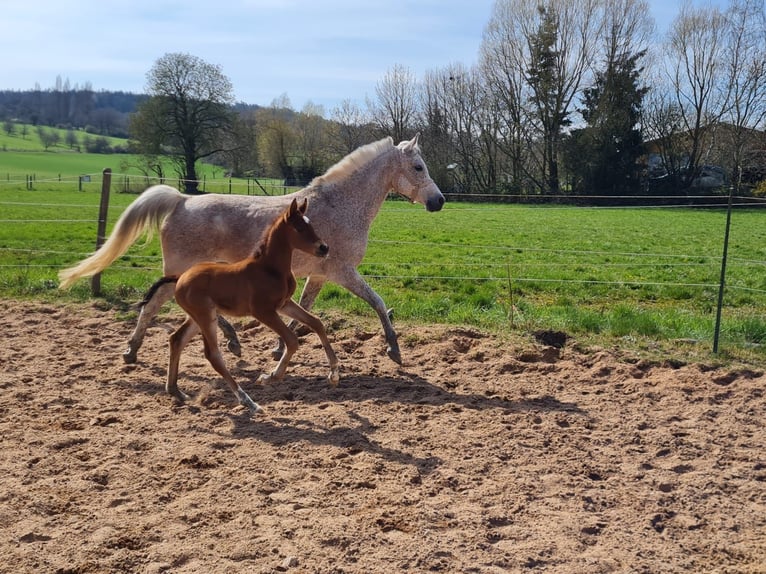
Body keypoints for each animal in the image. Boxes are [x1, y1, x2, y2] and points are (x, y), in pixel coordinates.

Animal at [60, 135, 448, 364]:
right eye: (418, 166)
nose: (439, 201)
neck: (340, 206)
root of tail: (181, 200)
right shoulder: (343, 272)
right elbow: (378, 303)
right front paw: (394, 349)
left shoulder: (319, 276)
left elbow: (302, 311)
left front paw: (279, 347)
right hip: (180, 271)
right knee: (154, 305)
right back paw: (132, 350)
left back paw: (230, 342)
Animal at [139, 198, 342, 414]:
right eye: (299, 228)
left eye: (311, 225)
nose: (324, 248)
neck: (269, 268)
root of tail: (179, 278)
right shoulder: (263, 311)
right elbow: (292, 340)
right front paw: (269, 377)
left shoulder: (284, 304)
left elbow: (316, 323)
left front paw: (334, 374)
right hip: (205, 315)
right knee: (213, 355)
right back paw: (248, 401)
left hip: (199, 316)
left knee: (177, 339)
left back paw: (175, 391)